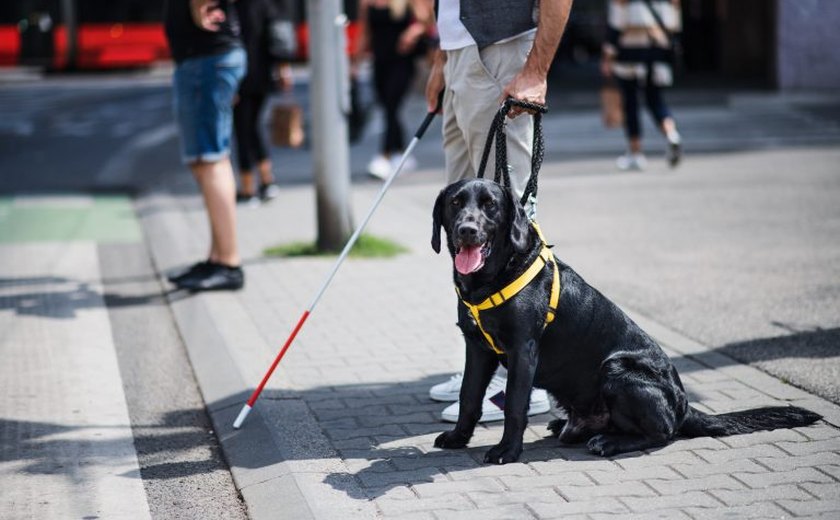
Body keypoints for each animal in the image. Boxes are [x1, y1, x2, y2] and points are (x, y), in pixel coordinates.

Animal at [434, 179, 820, 464]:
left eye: (490, 205)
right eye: (455, 203)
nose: (467, 230)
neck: (491, 279)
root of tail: (684, 406)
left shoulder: (523, 351)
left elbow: (515, 404)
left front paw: (507, 451)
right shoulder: (477, 348)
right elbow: (469, 396)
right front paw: (458, 437)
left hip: (618, 369)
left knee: (662, 433)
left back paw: (610, 442)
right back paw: (569, 426)